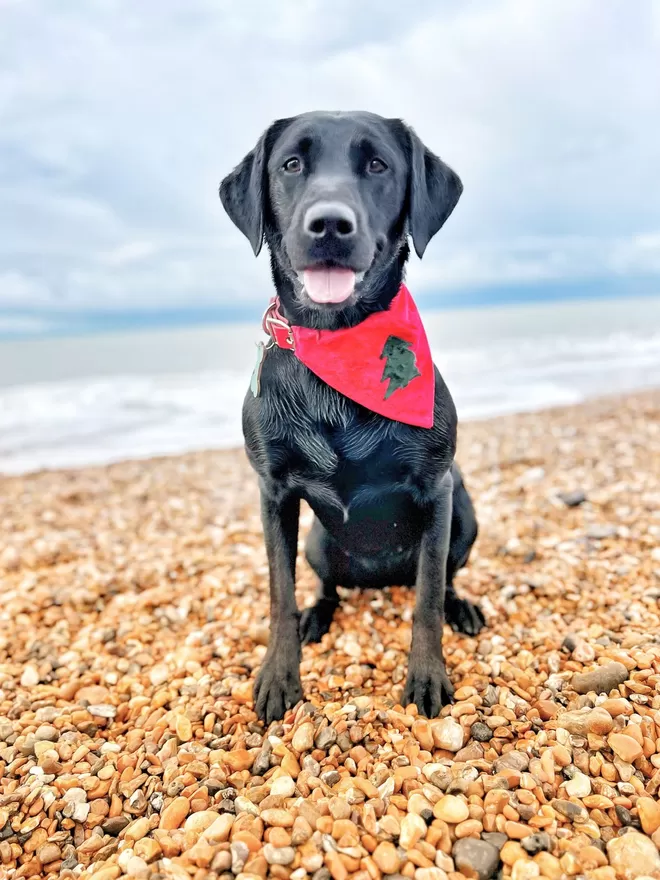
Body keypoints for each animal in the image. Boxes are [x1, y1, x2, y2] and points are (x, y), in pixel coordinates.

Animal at [219, 113, 482, 724]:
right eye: (291, 164)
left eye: (378, 164)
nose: (330, 224)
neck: (339, 346)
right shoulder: (273, 492)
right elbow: (280, 594)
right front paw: (279, 677)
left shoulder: (436, 486)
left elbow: (426, 599)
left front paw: (427, 675)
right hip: (316, 542)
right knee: (325, 586)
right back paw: (319, 613)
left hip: (464, 511)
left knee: (441, 579)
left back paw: (461, 606)